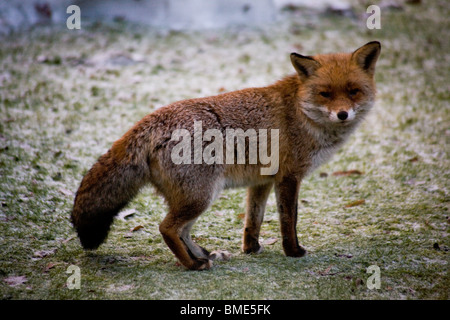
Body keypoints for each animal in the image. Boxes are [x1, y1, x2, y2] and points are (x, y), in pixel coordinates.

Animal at [72, 40, 382, 270]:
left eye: (353, 91)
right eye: (325, 94)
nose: (342, 114)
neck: (301, 112)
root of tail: (154, 119)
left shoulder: (262, 181)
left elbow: (253, 220)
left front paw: (251, 249)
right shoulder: (289, 177)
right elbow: (289, 220)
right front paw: (293, 251)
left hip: (195, 197)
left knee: (182, 230)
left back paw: (201, 255)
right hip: (201, 195)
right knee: (167, 228)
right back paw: (192, 265)